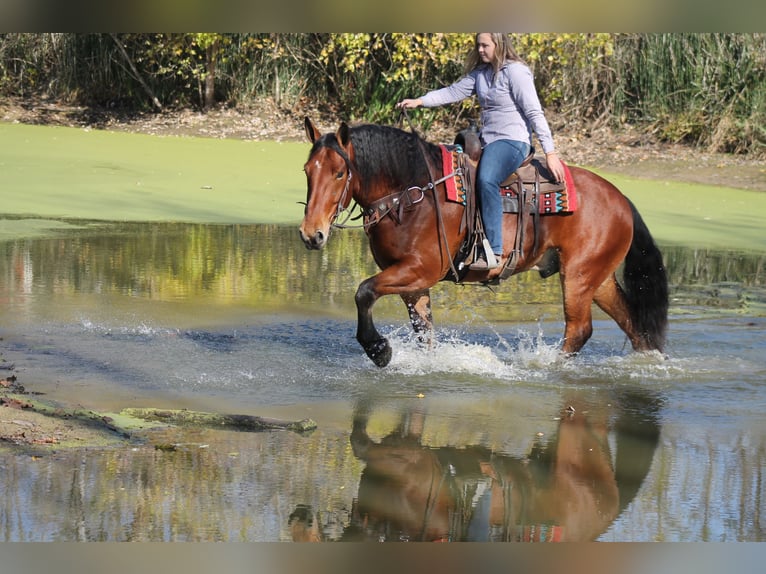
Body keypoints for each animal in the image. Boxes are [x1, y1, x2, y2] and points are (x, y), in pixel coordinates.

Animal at [300, 117, 668, 367]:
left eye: (339, 173)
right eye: (306, 170)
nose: (310, 233)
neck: (413, 195)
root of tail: (621, 199)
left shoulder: (420, 270)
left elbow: (363, 292)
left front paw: (379, 350)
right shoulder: (411, 282)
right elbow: (423, 331)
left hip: (578, 275)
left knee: (579, 329)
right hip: (599, 278)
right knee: (634, 325)